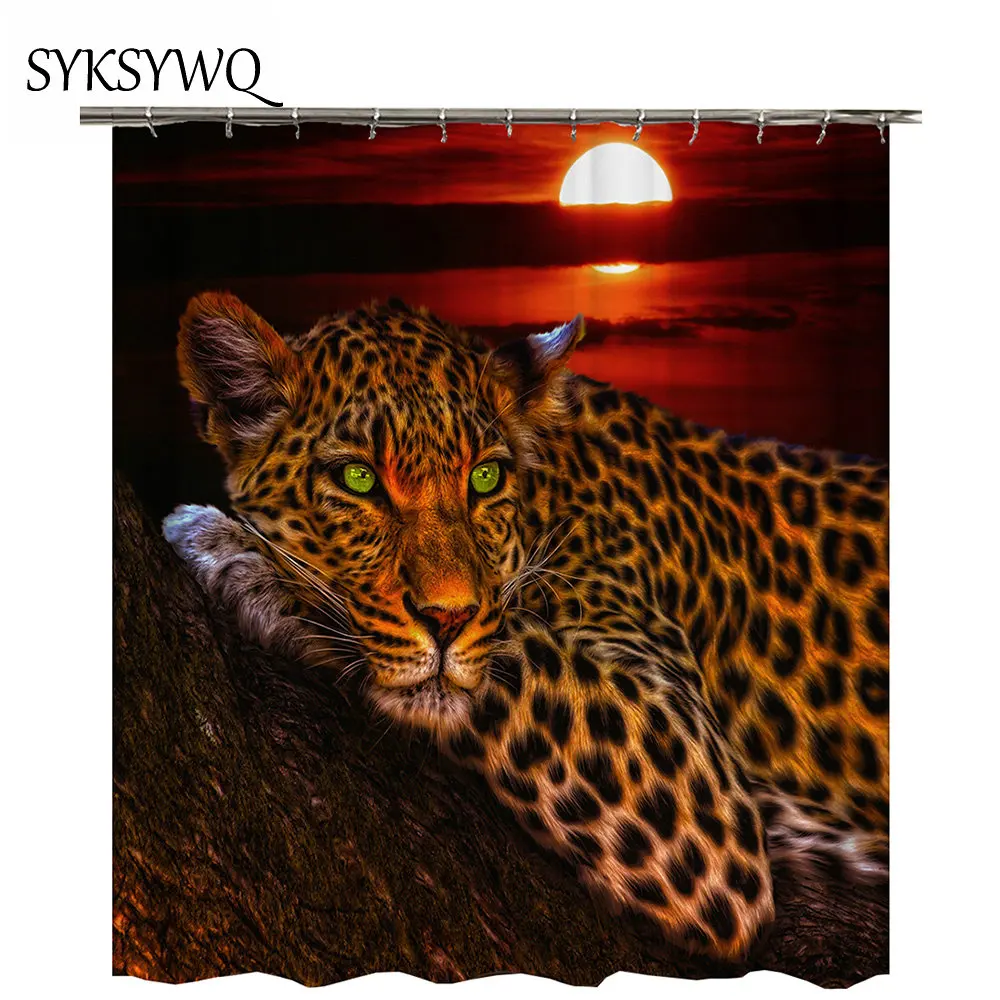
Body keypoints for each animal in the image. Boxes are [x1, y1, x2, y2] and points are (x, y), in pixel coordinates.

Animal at [163, 291, 889, 962]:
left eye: (485, 477)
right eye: (359, 478)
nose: (448, 618)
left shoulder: (695, 781)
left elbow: (503, 654)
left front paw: (234, 552)